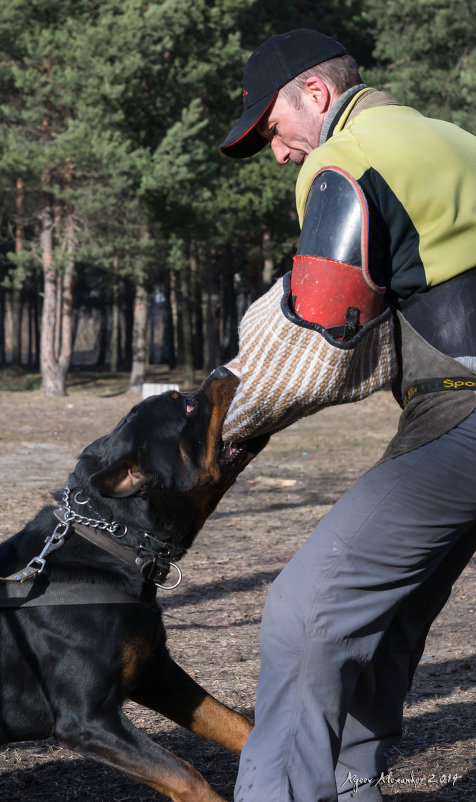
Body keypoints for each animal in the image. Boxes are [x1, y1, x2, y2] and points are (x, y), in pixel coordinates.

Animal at [0, 368, 268, 800]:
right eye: (186, 405)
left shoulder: (155, 672)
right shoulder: (88, 720)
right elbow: (187, 775)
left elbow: (235, 723)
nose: (222, 370)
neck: (113, 541)